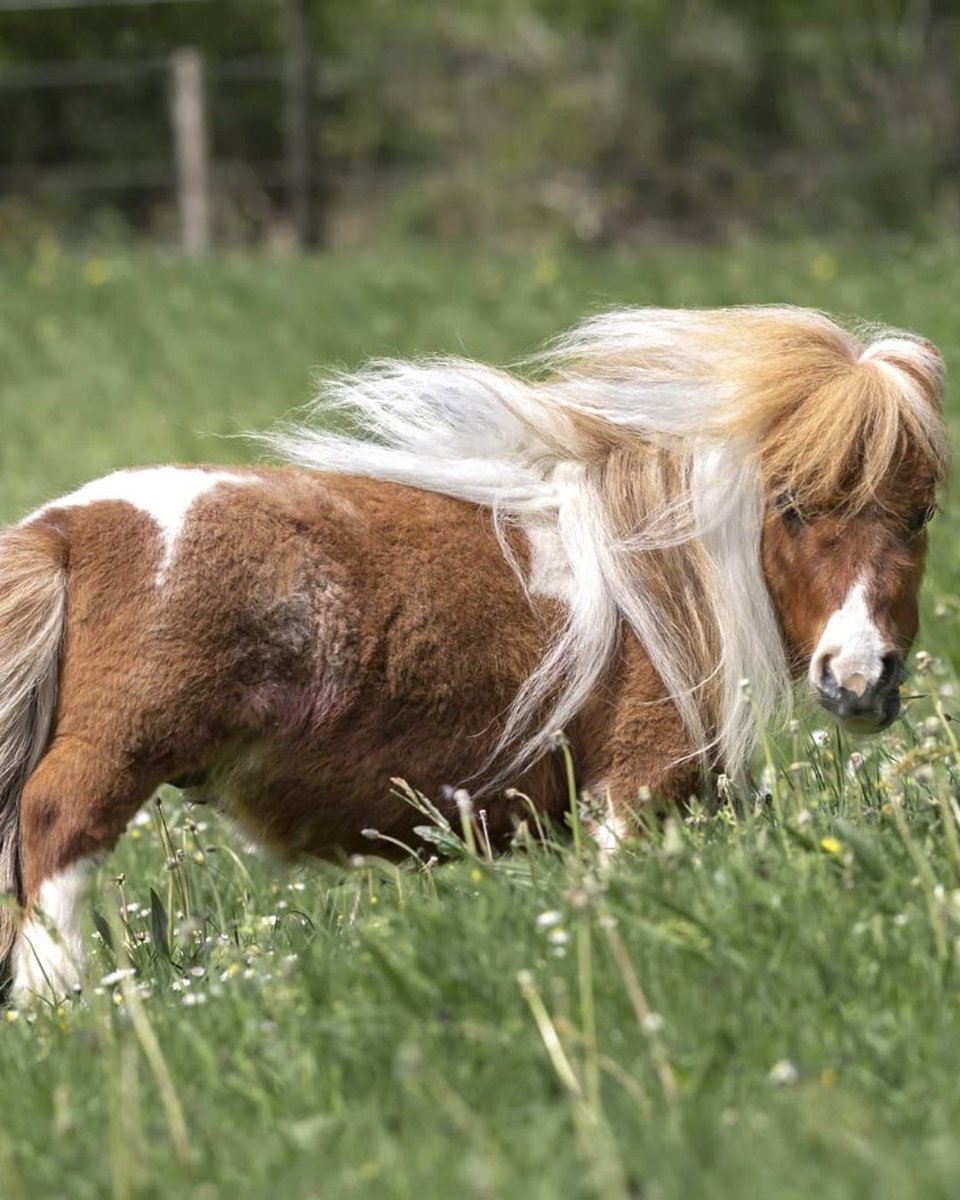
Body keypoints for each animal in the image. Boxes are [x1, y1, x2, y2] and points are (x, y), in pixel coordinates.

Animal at [0, 305, 946, 1007]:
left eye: (923, 511)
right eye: (790, 504)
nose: (860, 676)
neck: (660, 580)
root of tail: (67, 527)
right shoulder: (636, 787)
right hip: (112, 759)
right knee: (54, 840)